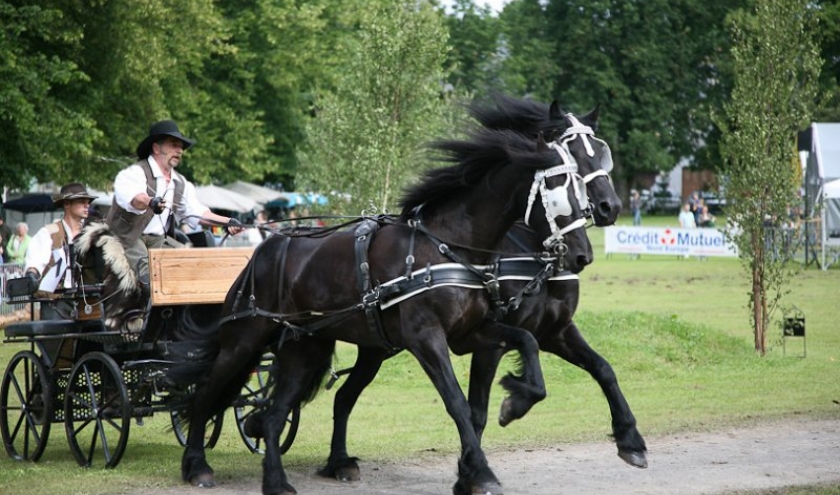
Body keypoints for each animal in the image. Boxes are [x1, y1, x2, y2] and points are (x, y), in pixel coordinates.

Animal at [180, 127, 592, 495]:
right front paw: (482, 473)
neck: (445, 247)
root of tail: (265, 249)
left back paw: (278, 482)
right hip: (243, 342)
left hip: (305, 350)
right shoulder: (427, 338)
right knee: (206, 395)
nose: (582, 254)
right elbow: (458, 403)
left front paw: (516, 401)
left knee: (275, 414)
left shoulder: (471, 333)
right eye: (559, 192)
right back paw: (196, 465)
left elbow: (527, 343)